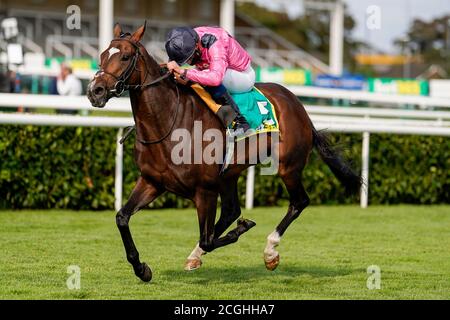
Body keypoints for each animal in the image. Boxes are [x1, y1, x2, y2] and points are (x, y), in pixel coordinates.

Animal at [87, 23, 362, 282]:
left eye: (124, 57)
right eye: (101, 55)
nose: (94, 91)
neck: (167, 122)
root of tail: (298, 104)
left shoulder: (205, 190)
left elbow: (208, 238)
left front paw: (244, 230)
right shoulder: (152, 182)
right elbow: (122, 217)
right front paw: (141, 268)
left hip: (288, 167)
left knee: (299, 202)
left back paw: (270, 251)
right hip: (229, 175)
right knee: (231, 211)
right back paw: (198, 255)